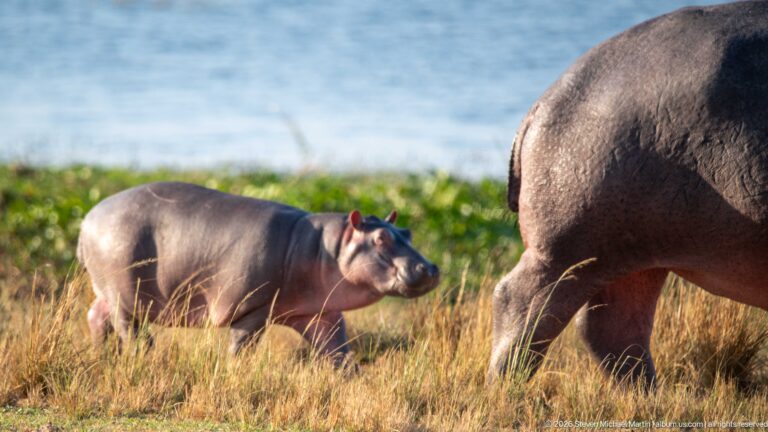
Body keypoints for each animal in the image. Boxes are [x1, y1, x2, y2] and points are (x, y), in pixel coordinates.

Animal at [78, 182, 439, 364]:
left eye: (407, 232)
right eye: (380, 238)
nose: (431, 267)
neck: (327, 248)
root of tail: (87, 218)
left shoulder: (321, 314)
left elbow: (338, 352)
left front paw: (349, 381)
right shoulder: (251, 309)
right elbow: (241, 347)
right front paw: (234, 371)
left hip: (109, 291)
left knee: (96, 316)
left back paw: (99, 357)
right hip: (126, 293)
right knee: (131, 329)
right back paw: (149, 359)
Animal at [489, 1, 768, 387]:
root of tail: (542, 105)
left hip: (635, 249)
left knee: (611, 325)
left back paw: (648, 394)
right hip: (567, 247)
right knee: (521, 301)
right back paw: (506, 387)